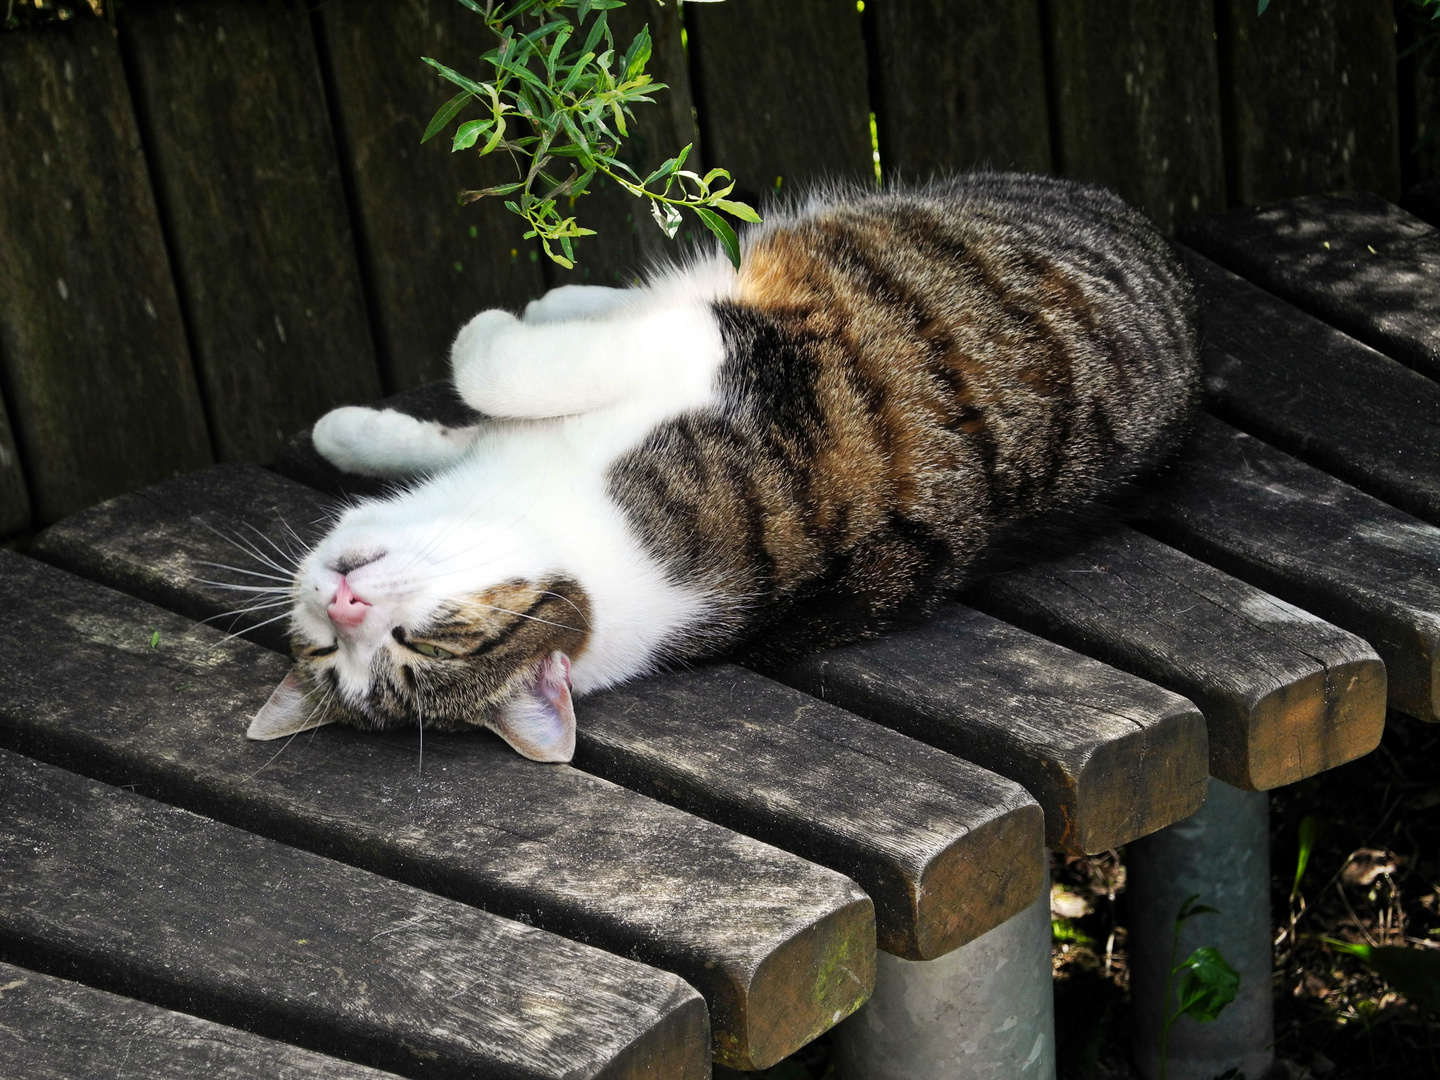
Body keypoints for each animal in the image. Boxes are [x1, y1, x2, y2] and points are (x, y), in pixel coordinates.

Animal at [250, 171, 1203, 760]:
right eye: (328, 653)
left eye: (417, 645)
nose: (343, 602)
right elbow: (465, 421)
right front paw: (352, 432)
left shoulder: (741, 355)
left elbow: (489, 368)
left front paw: (490, 331)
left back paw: (568, 296)